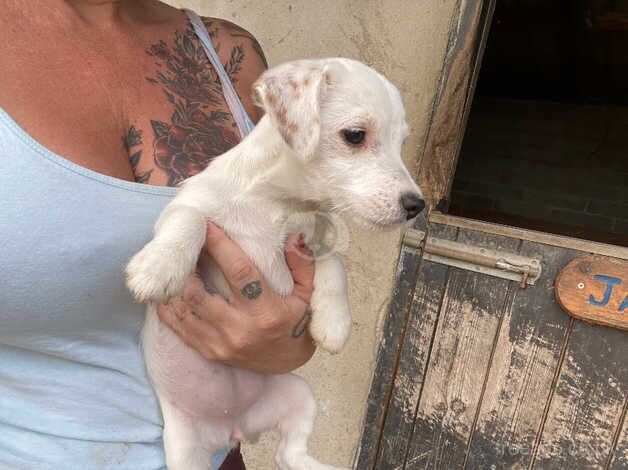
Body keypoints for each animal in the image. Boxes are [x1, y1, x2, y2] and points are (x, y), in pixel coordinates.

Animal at [125, 58, 424, 470]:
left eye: (401, 142)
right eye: (355, 136)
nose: (417, 205)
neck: (277, 203)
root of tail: (233, 427)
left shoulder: (308, 245)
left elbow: (335, 264)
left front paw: (334, 323)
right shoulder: (187, 206)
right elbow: (190, 221)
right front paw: (159, 268)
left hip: (298, 393)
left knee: (289, 453)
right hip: (185, 449)